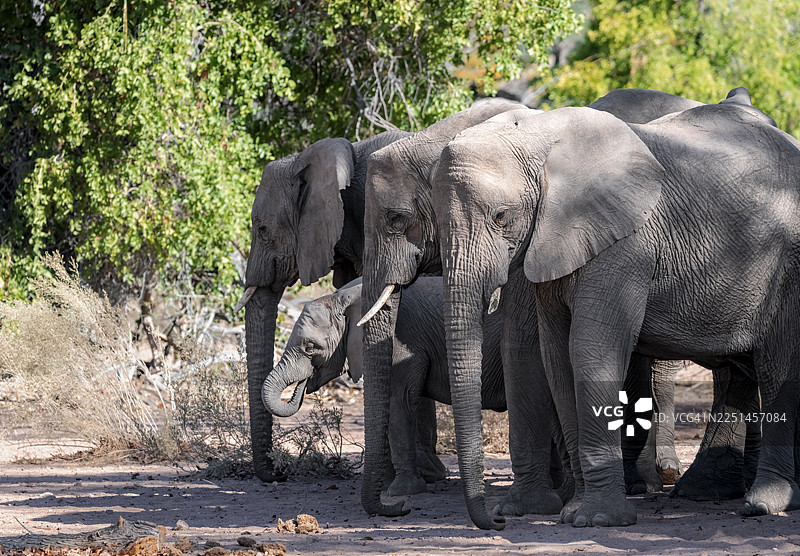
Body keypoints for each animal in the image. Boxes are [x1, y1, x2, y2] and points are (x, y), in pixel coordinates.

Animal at [262, 277, 517, 497]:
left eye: (310, 347)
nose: (301, 386)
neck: (342, 297)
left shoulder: (399, 337)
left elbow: (398, 401)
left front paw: (402, 490)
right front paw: (385, 486)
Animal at [358, 87, 757, 526]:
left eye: (396, 219)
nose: (397, 509)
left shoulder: (549, 235)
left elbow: (527, 341)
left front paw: (533, 507)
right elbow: (522, 348)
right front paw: (527, 508)